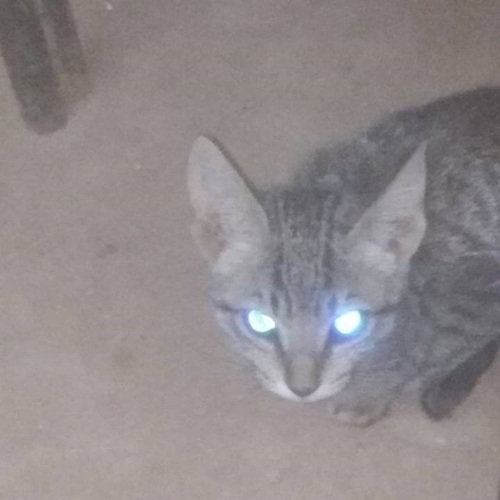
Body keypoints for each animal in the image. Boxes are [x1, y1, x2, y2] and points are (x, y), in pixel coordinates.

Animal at [187, 87, 500, 426]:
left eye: (348, 323)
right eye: (260, 322)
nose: (302, 389)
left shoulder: (476, 288)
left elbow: (421, 347)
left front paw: (369, 390)